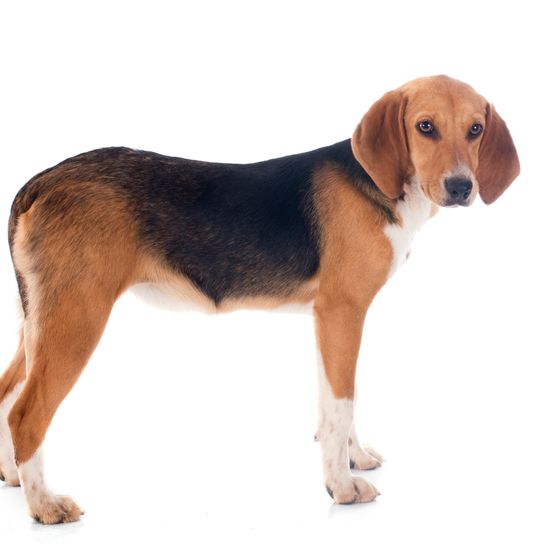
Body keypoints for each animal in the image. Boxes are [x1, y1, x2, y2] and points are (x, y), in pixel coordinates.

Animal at [0, 75, 520, 524]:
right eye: (424, 127)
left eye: (475, 129)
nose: (461, 187)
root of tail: (42, 180)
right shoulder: (342, 311)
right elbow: (342, 401)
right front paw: (342, 486)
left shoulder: (330, 320)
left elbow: (337, 399)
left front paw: (354, 457)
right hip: (76, 319)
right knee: (26, 414)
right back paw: (45, 504)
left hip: (40, 323)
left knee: (7, 397)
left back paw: (14, 477)